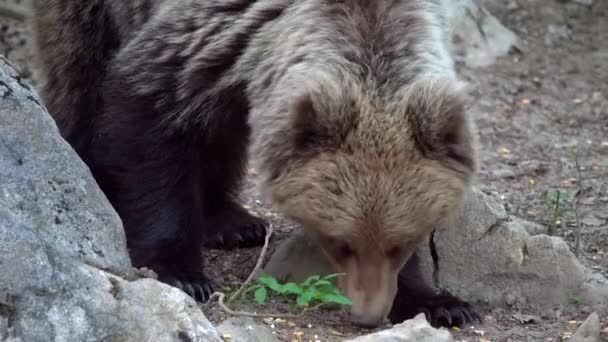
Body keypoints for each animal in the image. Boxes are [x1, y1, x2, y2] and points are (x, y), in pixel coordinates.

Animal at [32, 0, 480, 328]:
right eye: (340, 242)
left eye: (401, 243)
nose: (367, 316)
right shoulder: (208, 35)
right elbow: (147, 119)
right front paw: (181, 272)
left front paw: (441, 303)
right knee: (80, 74)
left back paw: (233, 222)